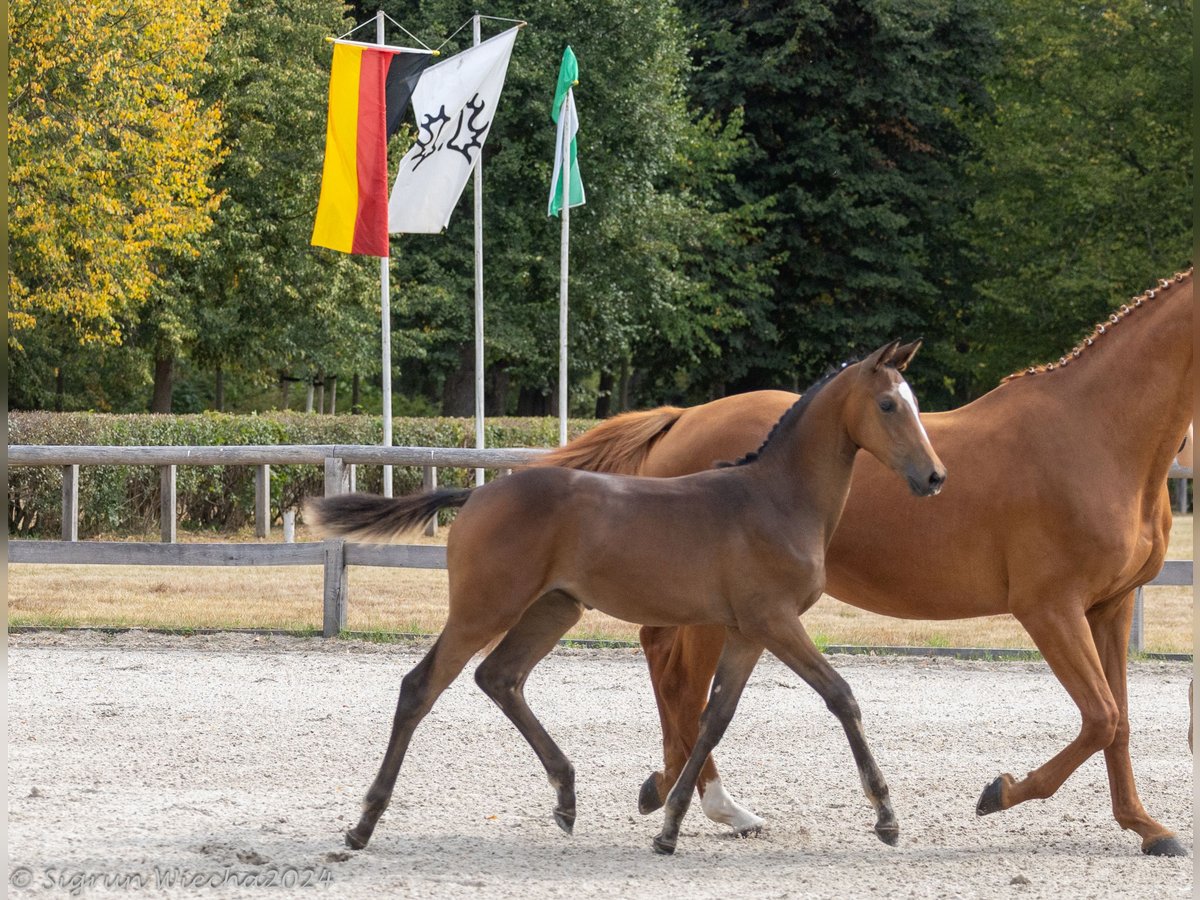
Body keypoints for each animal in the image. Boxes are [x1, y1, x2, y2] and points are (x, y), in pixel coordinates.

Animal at [309, 340, 945, 854]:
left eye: (914, 402)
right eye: (888, 405)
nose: (934, 477)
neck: (776, 499)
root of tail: (477, 495)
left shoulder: (747, 630)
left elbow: (715, 717)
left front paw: (669, 828)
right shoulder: (777, 622)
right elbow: (841, 696)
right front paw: (886, 817)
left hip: (554, 607)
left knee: (500, 677)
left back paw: (566, 796)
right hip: (483, 608)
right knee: (421, 687)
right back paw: (363, 824)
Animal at [542, 270, 1190, 859]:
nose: (932, 477)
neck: (1093, 433)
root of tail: (683, 417)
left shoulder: (1110, 608)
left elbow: (1120, 720)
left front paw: (1146, 827)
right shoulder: (1050, 608)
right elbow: (1101, 716)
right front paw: (999, 793)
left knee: (668, 667)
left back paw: (672, 789)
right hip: (712, 611)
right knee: (681, 683)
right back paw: (706, 800)